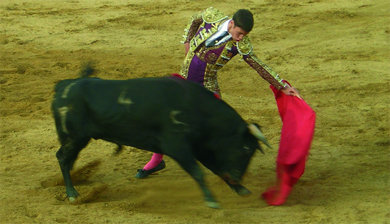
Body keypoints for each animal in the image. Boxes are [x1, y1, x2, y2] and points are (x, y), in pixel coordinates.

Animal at [52, 66, 272, 208]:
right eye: (246, 148)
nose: (236, 176)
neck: (198, 109)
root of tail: (63, 86)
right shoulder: (177, 146)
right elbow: (198, 172)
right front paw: (212, 201)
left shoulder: (199, 148)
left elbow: (215, 168)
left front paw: (241, 190)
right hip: (75, 137)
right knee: (62, 157)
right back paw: (72, 194)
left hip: (78, 139)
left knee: (68, 158)